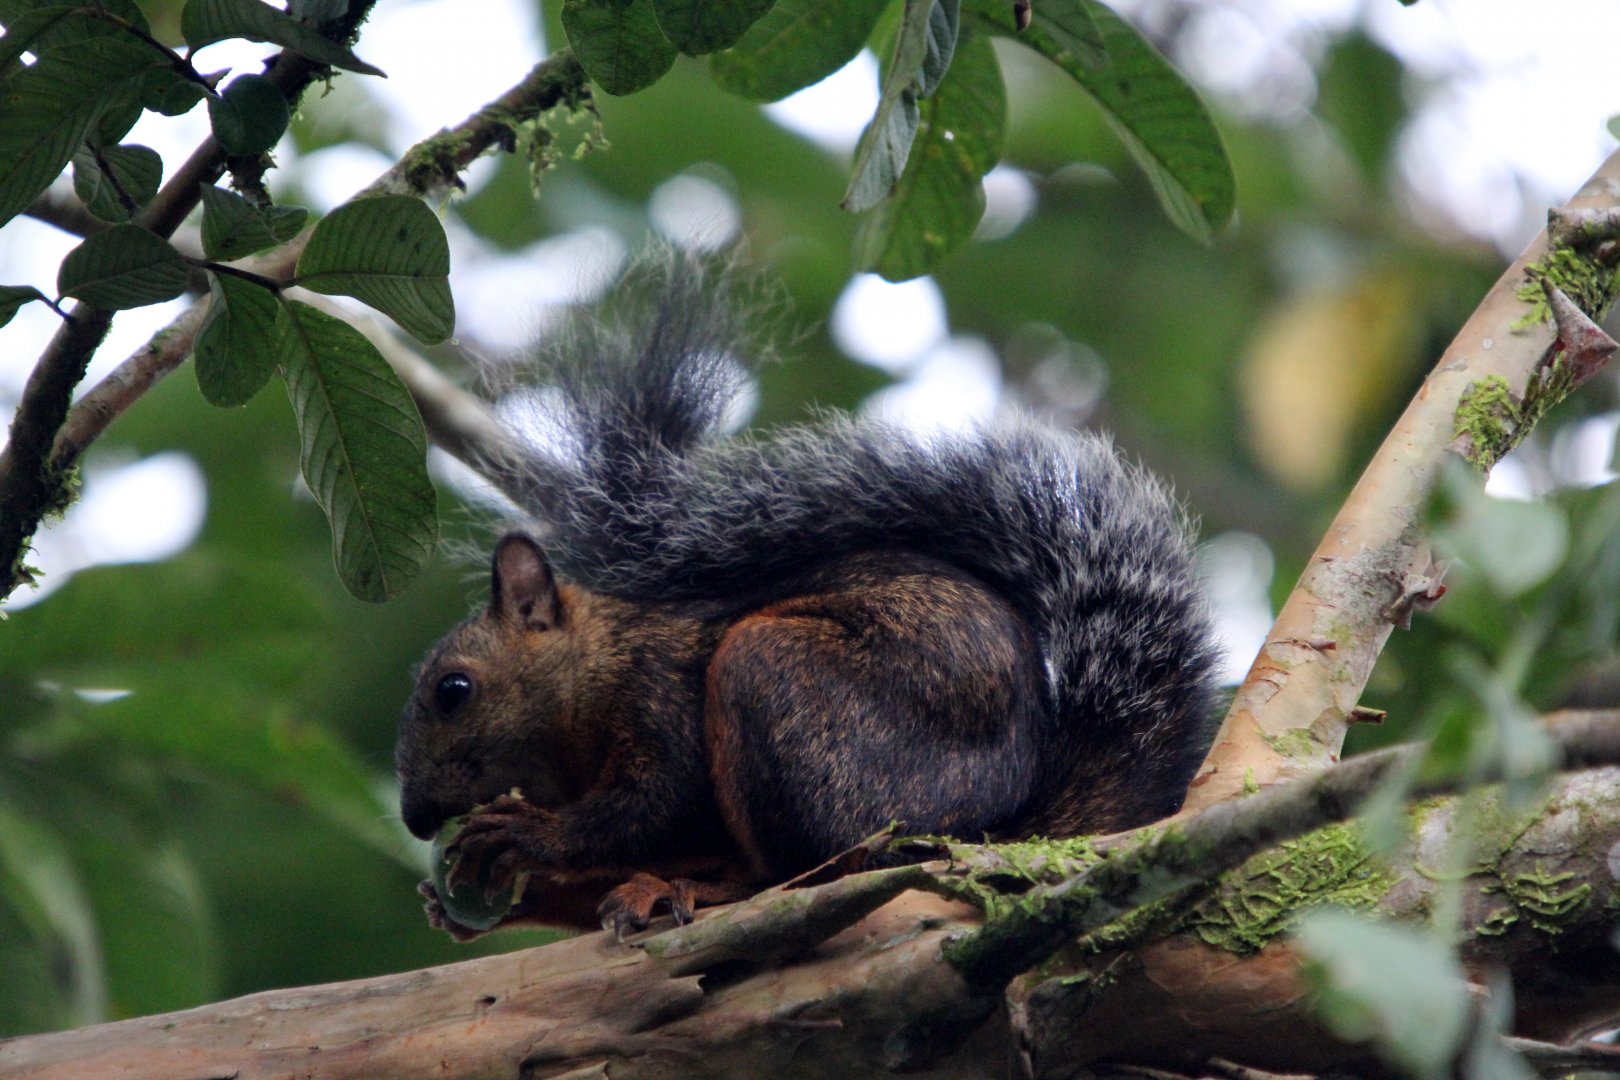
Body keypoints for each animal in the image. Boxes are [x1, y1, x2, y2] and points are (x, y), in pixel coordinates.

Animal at [396, 255, 1220, 939]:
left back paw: (703, 889)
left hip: (783, 685)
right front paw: (506, 900)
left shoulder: (660, 692)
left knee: (811, 869)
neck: (594, 673)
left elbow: (649, 806)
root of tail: (982, 834)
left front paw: (530, 836)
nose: (414, 818)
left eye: (453, 690)